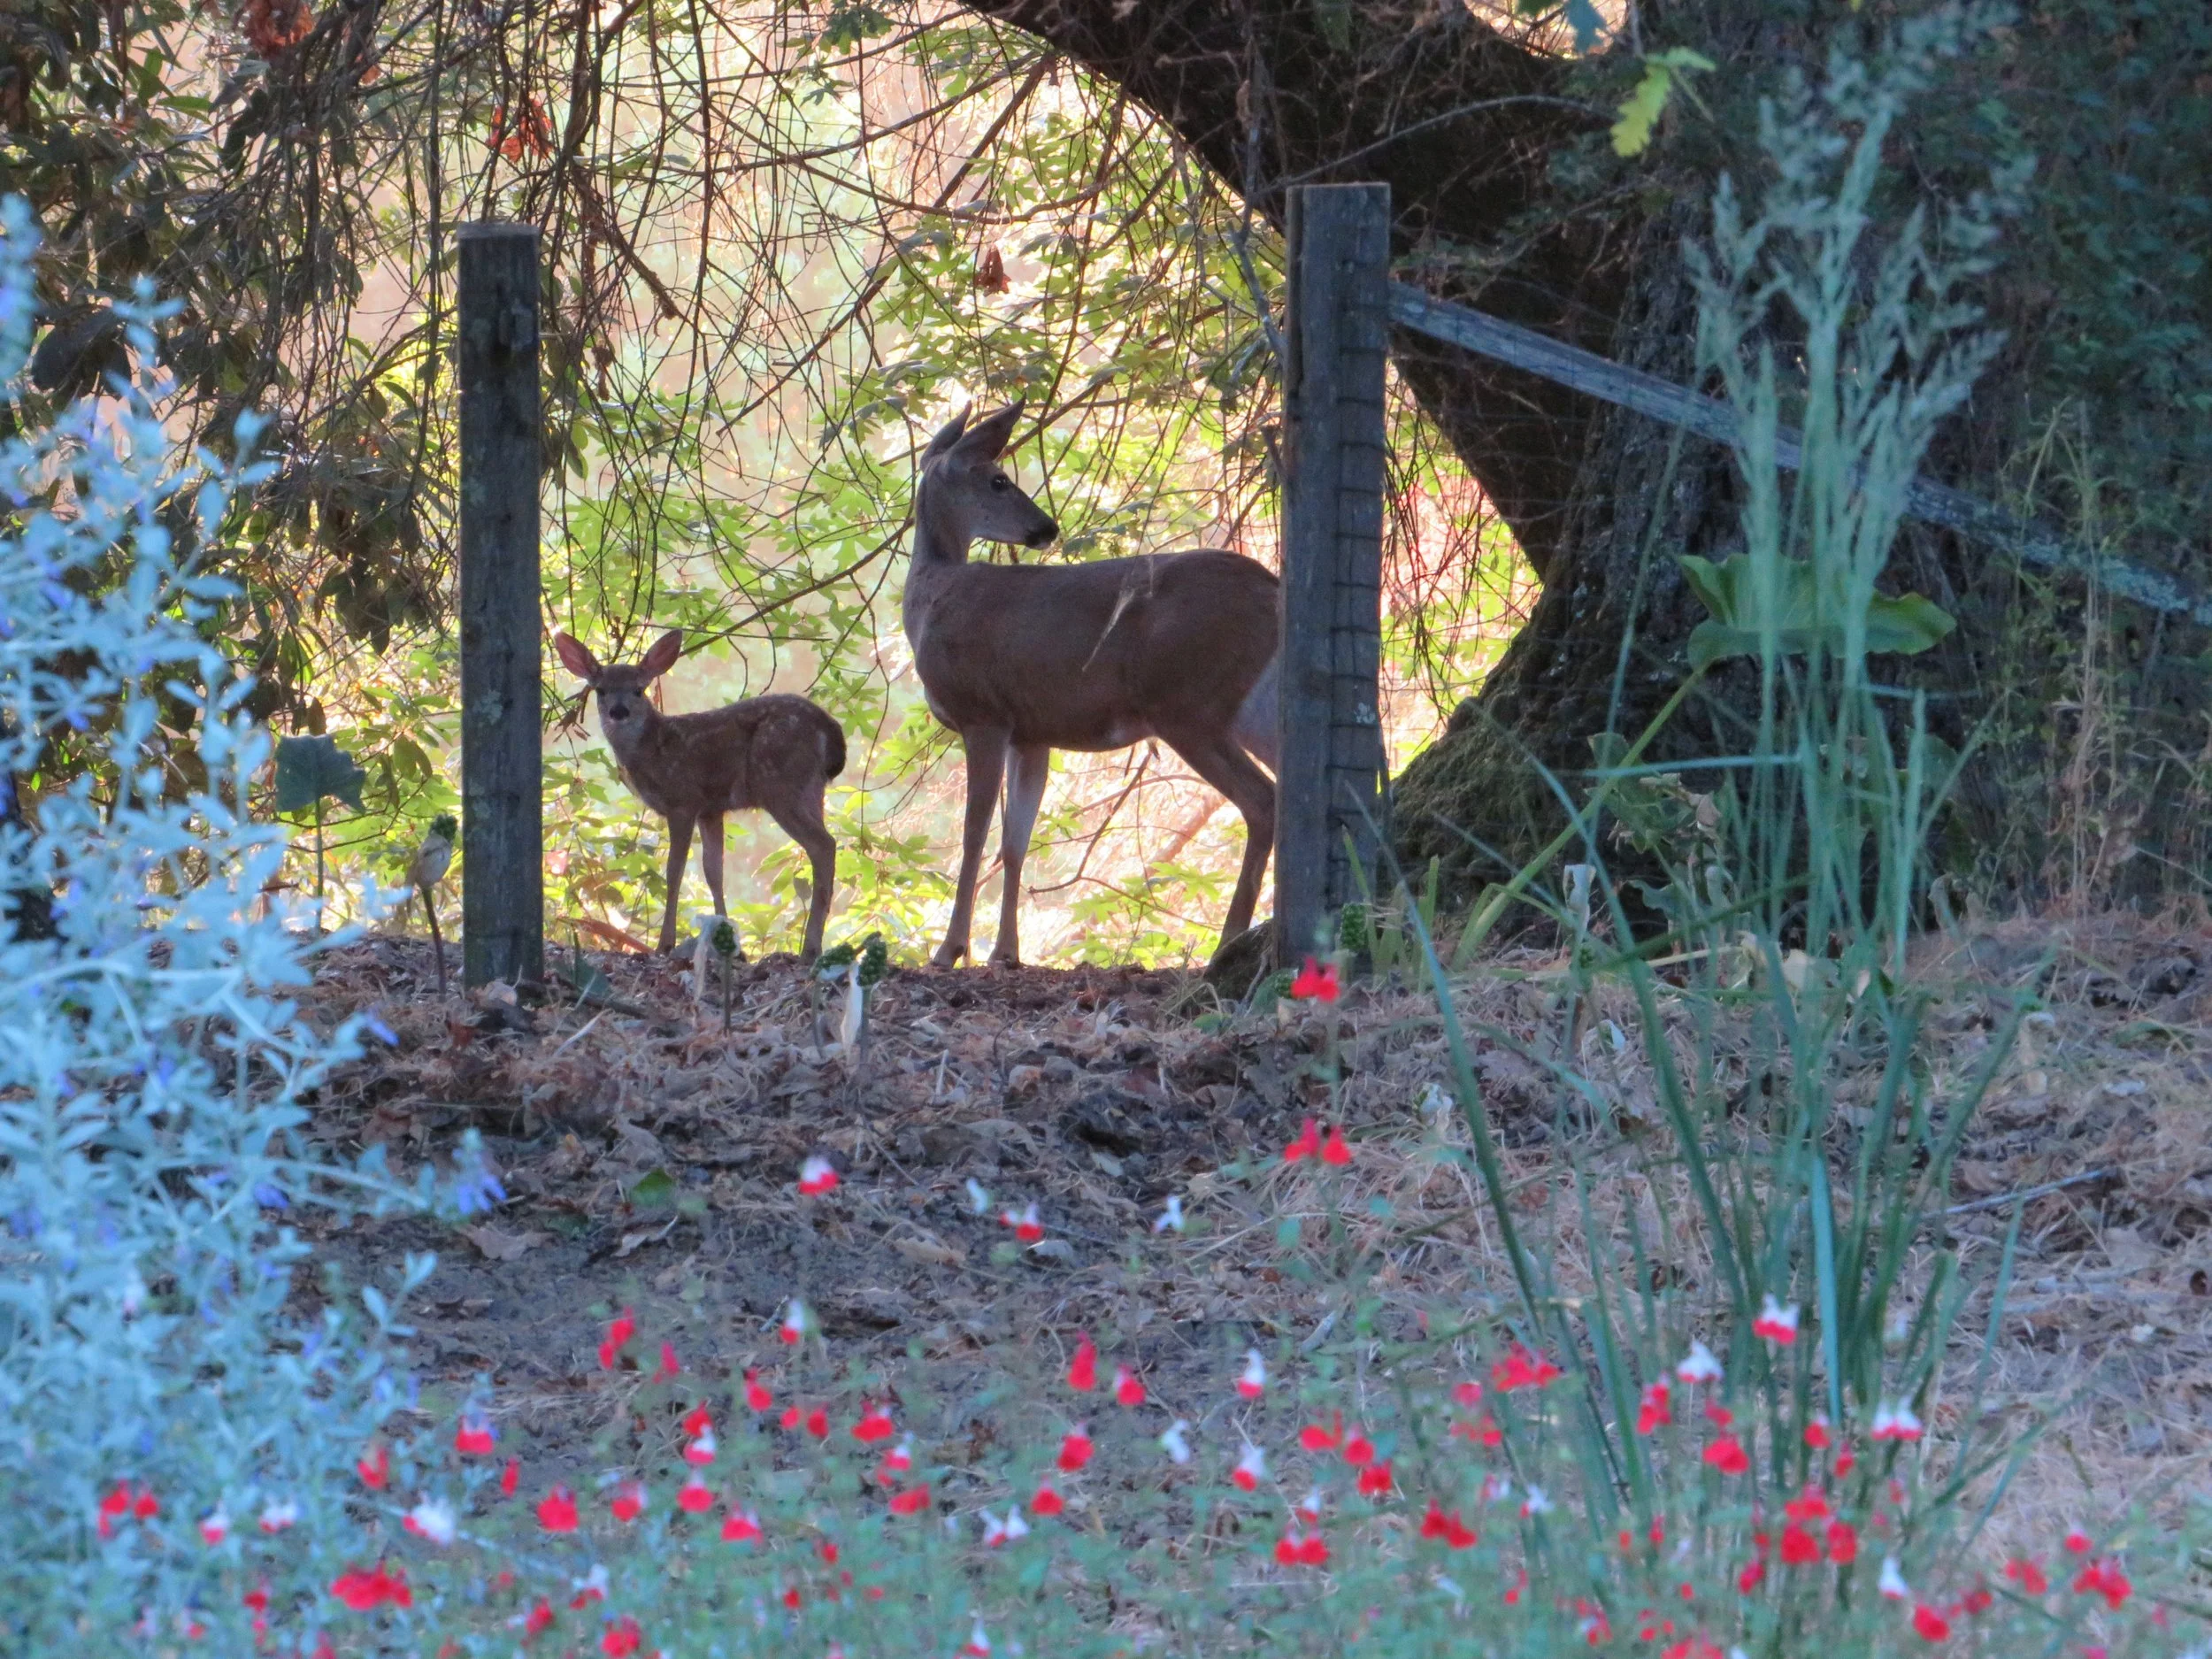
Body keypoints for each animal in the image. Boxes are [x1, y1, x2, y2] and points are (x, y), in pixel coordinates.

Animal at [552, 629, 844, 963]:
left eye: (639, 690)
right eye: (600, 690)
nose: (618, 711)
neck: (653, 749)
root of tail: (831, 731)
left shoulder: (683, 800)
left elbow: (674, 871)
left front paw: (665, 944)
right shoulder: (711, 809)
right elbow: (713, 870)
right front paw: (731, 944)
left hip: (782, 784)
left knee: (823, 845)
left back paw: (811, 948)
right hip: (811, 790)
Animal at [902, 401, 1280, 969]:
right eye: (998, 480)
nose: (1046, 527)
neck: (932, 598)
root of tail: (1272, 587)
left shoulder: (982, 713)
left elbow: (973, 836)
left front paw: (950, 950)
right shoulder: (1030, 732)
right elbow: (1014, 843)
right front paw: (1005, 954)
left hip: (1187, 702)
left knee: (1263, 799)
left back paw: (1230, 940)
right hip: (1245, 704)